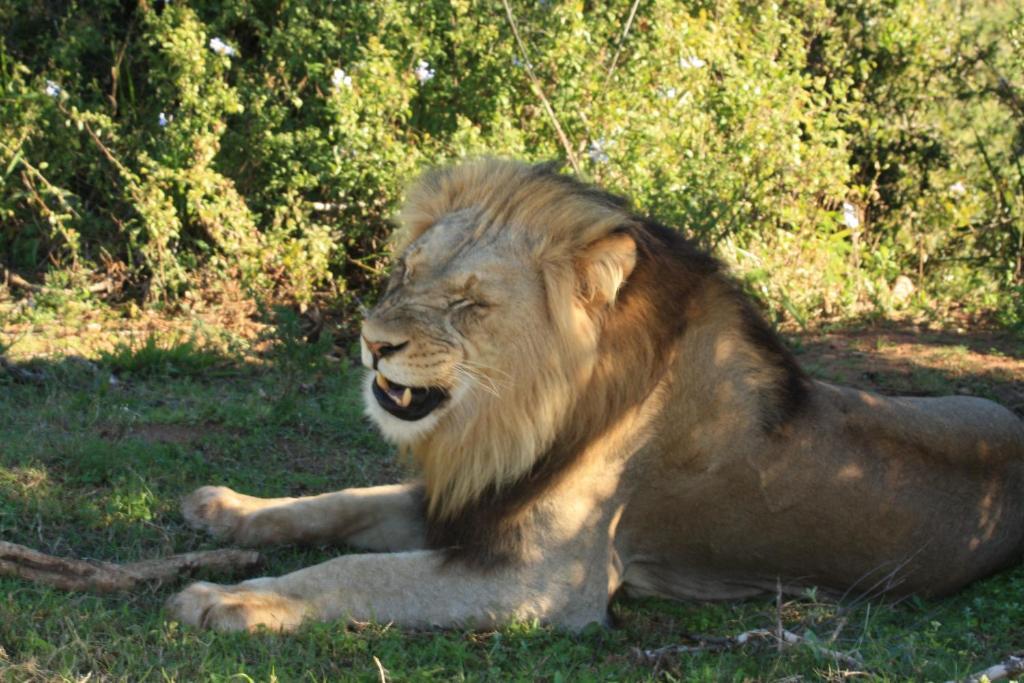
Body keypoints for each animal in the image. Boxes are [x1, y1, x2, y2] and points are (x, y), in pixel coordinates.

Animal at [167, 157, 1024, 634]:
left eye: (469, 304)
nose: (375, 341)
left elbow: (353, 572)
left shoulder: (545, 579)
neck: (511, 419)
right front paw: (225, 508)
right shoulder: (473, 498)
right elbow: (337, 501)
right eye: (404, 272)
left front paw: (226, 598)